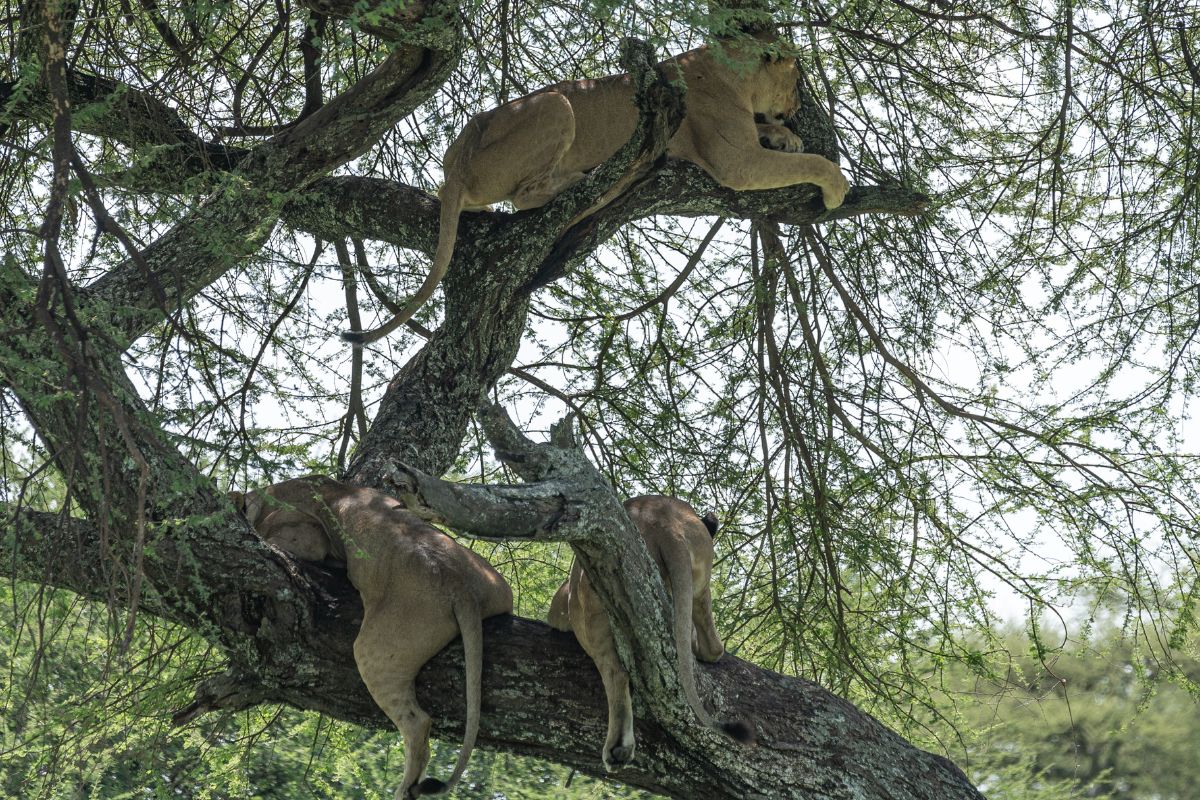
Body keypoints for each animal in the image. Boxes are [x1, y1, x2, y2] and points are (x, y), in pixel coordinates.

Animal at [342, 35, 850, 345]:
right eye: (797, 80)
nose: (798, 107)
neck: (730, 71)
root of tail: (457, 162)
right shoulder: (734, 160)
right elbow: (810, 163)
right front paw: (837, 187)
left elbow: (782, 144)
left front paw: (785, 136)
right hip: (556, 105)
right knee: (526, 196)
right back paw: (586, 180)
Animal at [547, 495, 752, 771]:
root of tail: (664, 522)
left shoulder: (560, 605)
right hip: (698, 576)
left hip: (594, 606)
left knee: (615, 672)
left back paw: (618, 748)